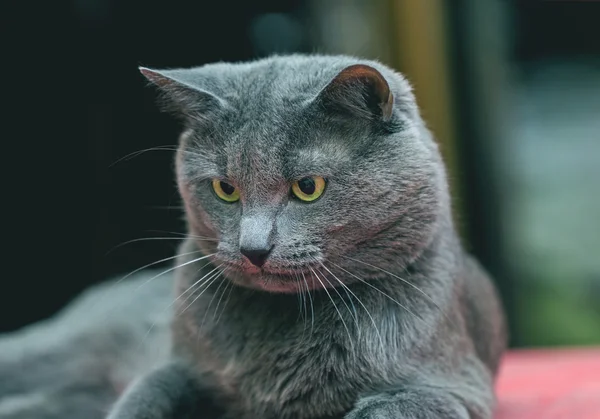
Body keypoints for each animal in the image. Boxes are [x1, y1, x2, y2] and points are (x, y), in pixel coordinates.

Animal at [0, 55, 506, 419]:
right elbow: (147, 394)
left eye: (308, 187)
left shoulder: (448, 386)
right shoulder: (182, 367)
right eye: (226, 188)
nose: (253, 248)